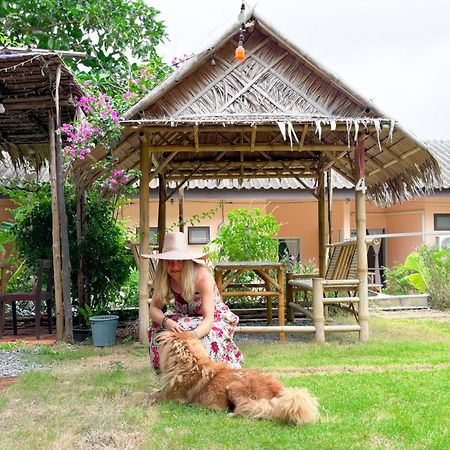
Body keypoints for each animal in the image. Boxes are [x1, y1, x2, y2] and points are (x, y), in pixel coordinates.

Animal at [153, 330, 318, 426]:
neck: (190, 363)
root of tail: (280, 391)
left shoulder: (171, 395)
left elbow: (153, 396)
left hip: (234, 388)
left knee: (256, 410)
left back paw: (230, 414)